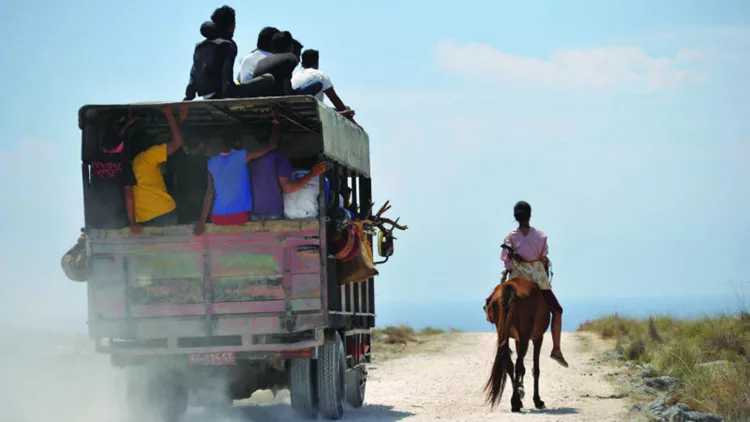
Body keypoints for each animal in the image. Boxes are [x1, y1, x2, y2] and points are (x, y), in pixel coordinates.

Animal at [484, 276, 548, 412]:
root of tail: (510, 287)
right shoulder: (537, 337)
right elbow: (535, 369)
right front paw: (537, 400)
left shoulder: (517, 338)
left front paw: (519, 389)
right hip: (525, 334)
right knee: (518, 364)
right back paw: (516, 402)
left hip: (503, 332)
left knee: (509, 363)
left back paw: (516, 400)